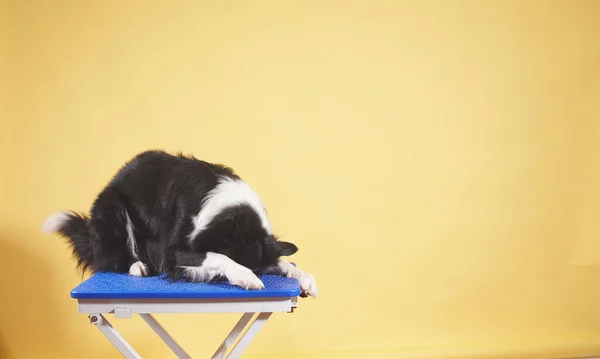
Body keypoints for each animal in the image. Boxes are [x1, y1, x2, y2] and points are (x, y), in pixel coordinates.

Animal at [42, 150, 318, 298]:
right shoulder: (174, 251)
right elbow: (218, 256)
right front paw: (245, 276)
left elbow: (283, 263)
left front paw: (306, 279)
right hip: (114, 211)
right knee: (117, 259)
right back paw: (137, 266)